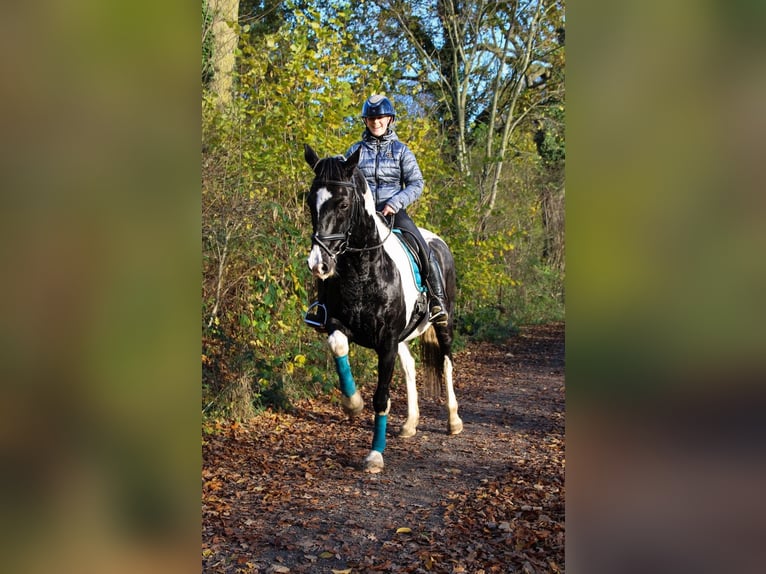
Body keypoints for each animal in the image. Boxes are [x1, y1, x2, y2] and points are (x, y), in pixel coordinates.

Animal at [303, 144, 463, 473]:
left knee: (446, 364)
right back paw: (410, 424)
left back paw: (454, 421)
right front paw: (353, 404)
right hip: (403, 337)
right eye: (311, 201)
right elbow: (338, 346)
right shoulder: (337, 324)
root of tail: (439, 241)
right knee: (410, 367)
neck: (363, 269)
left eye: (343, 203)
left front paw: (375, 455)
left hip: (443, 323)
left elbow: (382, 397)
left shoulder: (386, 340)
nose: (318, 264)